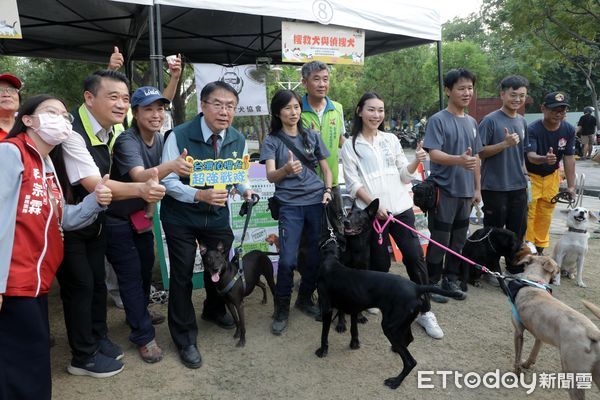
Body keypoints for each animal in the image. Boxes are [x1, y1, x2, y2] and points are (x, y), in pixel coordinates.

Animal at [316, 225, 462, 388]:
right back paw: (395, 351)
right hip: (401, 323)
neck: (331, 260)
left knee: (410, 361)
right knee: (409, 339)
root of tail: (416, 287)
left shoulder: (327, 308)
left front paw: (322, 351)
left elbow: (324, 334)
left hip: (390, 326)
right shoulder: (353, 307)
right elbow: (354, 329)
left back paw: (395, 381)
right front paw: (354, 343)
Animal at [510, 255, 600, 398]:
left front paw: (516, 374)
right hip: (597, 372)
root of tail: (592, 331)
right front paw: (527, 364)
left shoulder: (518, 331)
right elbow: (533, 354)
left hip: (573, 372)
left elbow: (517, 358)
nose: (560, 269)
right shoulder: (539, 336)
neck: (534, 282)